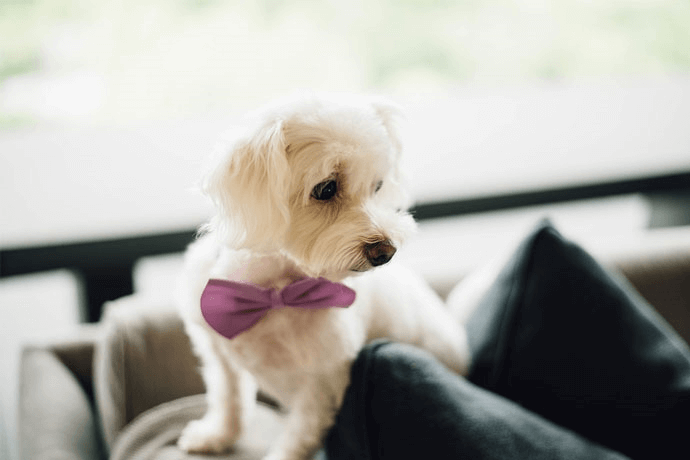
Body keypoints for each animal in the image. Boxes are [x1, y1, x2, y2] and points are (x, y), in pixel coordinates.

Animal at [175, 94, 470, 460]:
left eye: (377, 186)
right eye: (326, 188)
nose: (385, 251)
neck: (276, 294)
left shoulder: (319, 384)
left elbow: (298, 436)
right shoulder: (219, 350)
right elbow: (227, 398)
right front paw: (216, 434)